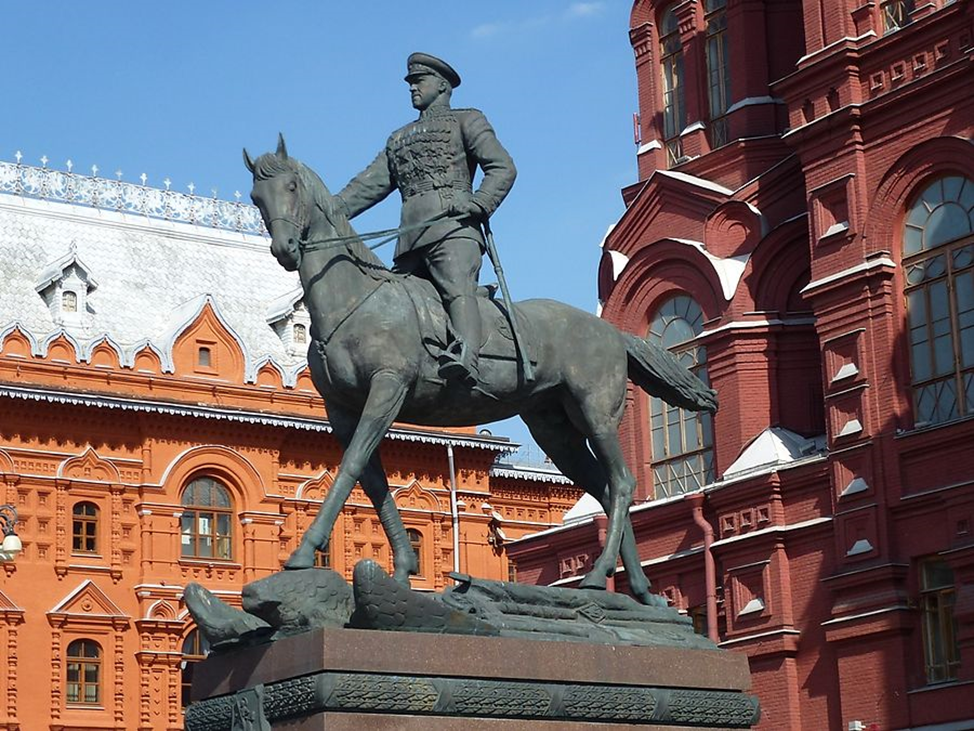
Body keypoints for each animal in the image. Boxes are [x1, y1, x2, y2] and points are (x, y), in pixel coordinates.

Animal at [244, 137, 716, 608]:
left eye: (291, 187)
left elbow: (350, 468)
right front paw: (404, 565)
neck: (358, 300)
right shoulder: (342, 411)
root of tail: (612, 331)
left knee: (621, 483)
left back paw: (600, 576)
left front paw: (304, 552)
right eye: (256, 197)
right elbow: (373, 482)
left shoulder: (387, 389)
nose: (285, 248)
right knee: (604, 488)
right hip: (554, 430)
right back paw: (640, 591)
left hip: (596, 415)